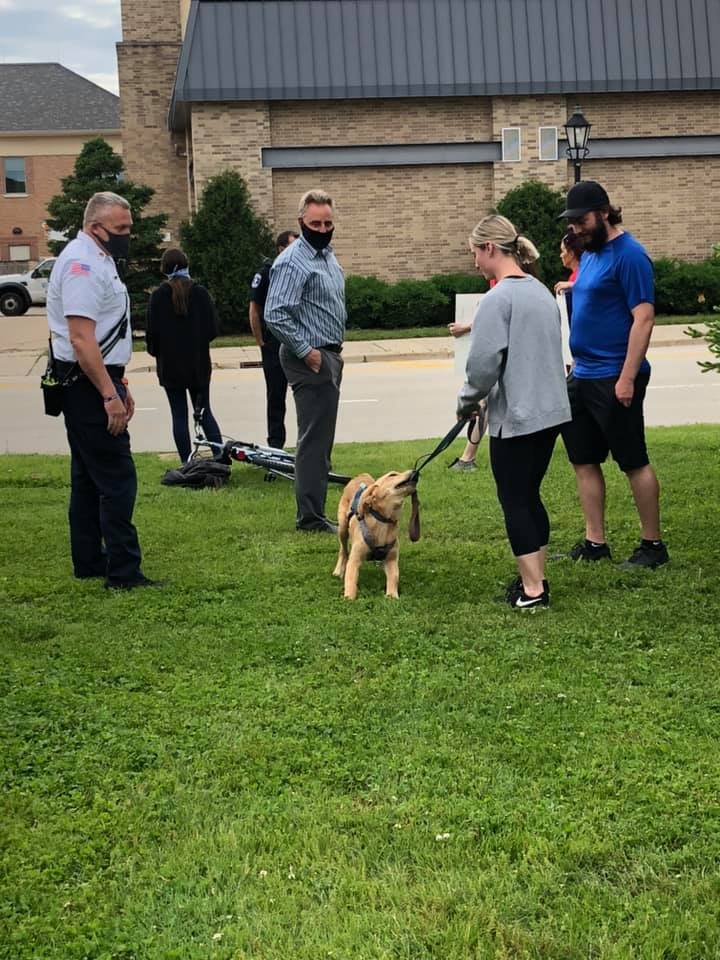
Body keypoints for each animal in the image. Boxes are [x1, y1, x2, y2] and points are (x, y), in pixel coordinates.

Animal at [334, 468, 420, 596]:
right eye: (392, 475)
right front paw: (348, 597)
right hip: (342, 528)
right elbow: (350, 580)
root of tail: (361, 475)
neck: (383, 521)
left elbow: (394, 577)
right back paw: (338, 570)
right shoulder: (354, 559)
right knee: (343, 551)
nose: (415, 470)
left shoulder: (391, 559)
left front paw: (392, 596)